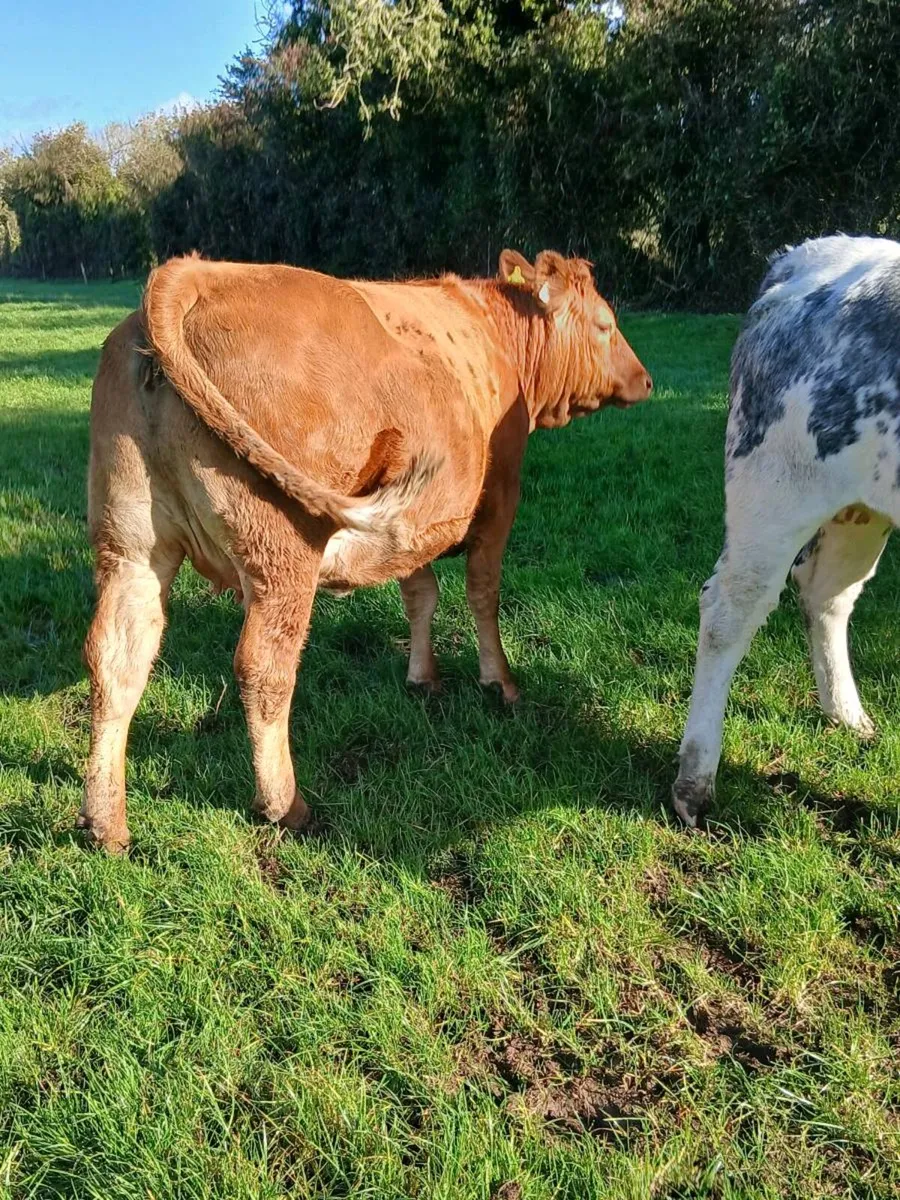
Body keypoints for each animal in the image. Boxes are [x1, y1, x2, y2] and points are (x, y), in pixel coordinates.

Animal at [83, 250, 653, 851]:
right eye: (605, 324)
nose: (645, 379)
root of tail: (195, 273)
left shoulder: (419, 529)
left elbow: (421, 593)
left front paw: (423, 677)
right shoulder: (500, 497)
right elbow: (483, 594)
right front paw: (501, 683)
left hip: (131, 547)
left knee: (116, 661)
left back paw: (105, 821)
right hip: (280, 552)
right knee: (263, 669)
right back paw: (286, 806)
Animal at [673, 234, 900, 826]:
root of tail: (811, 252)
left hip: (863, 507)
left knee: (829, 597)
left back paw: (847, 717)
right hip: (776, 488)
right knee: (730, 611)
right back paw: (694, 784)